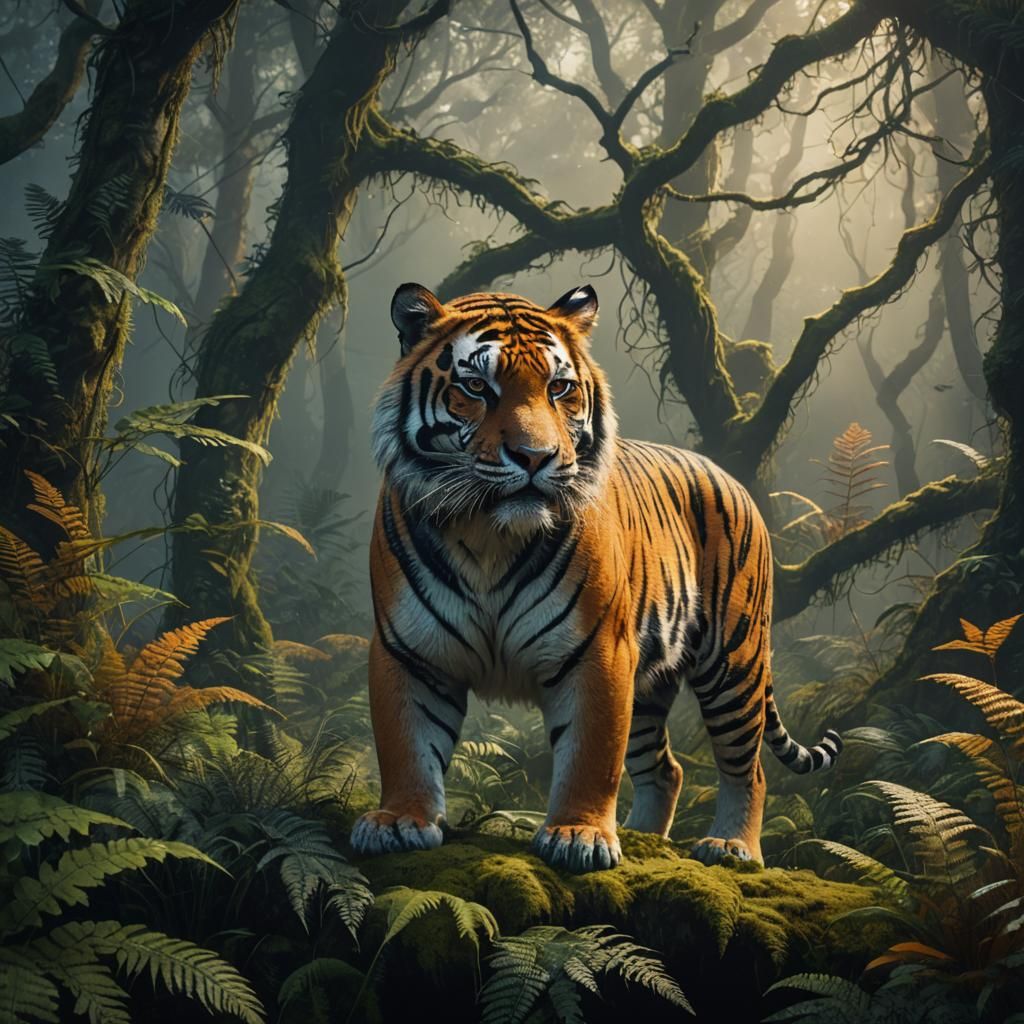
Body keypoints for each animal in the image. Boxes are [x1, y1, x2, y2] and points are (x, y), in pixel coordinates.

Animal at [349, 282, 842, 873]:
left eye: (559, 388)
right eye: (476, 386)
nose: (535, 457)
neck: (490, 535)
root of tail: (729, 475)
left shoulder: (598, 651)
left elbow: (591, 754)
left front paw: (578, 836)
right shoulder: (408, 651)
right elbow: (406, 744)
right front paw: (400, 821)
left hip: (733, 661)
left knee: (750, 767)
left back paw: (732, 848)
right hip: (650, 686)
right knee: (667, 769)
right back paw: (644, 838)